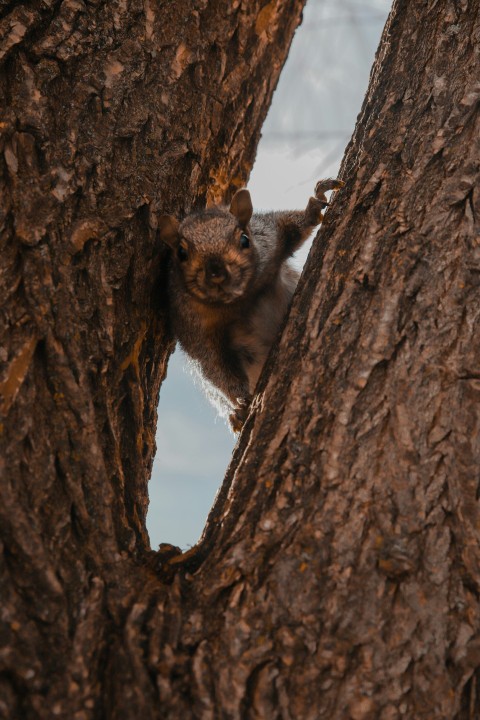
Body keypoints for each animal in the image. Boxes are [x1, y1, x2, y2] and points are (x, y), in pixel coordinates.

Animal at [159, 179, 344, 434]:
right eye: (181, 253)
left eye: (244, 239)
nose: (216, 273)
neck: (240, 302)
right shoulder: (193, 328)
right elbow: (215, 367)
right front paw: (241, 402)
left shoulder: (269, 236)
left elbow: (292, 226)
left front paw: (315, 205)